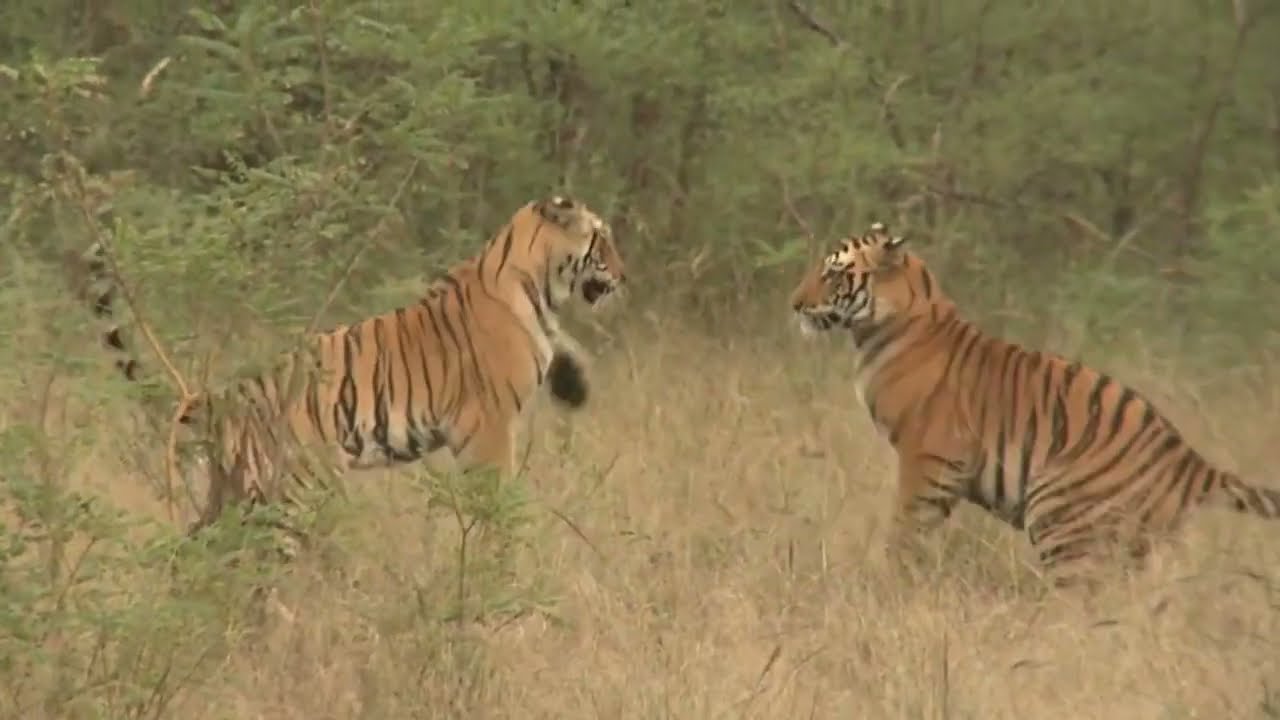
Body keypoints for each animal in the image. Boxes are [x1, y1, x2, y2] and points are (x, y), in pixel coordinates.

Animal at [76, 195, 626, 553]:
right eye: (602, 237)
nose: (624, 275)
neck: (536, 283)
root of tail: (225, 394)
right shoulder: (488, 429)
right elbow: (495, 505)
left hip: (227, 493)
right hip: (290, 491)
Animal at [788, 221, 1280, 588]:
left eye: (833, 273)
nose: (794, 304)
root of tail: (1190, 461)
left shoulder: (926, 456)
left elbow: (907, 526)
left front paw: (893, 577)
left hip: (1060, 515)